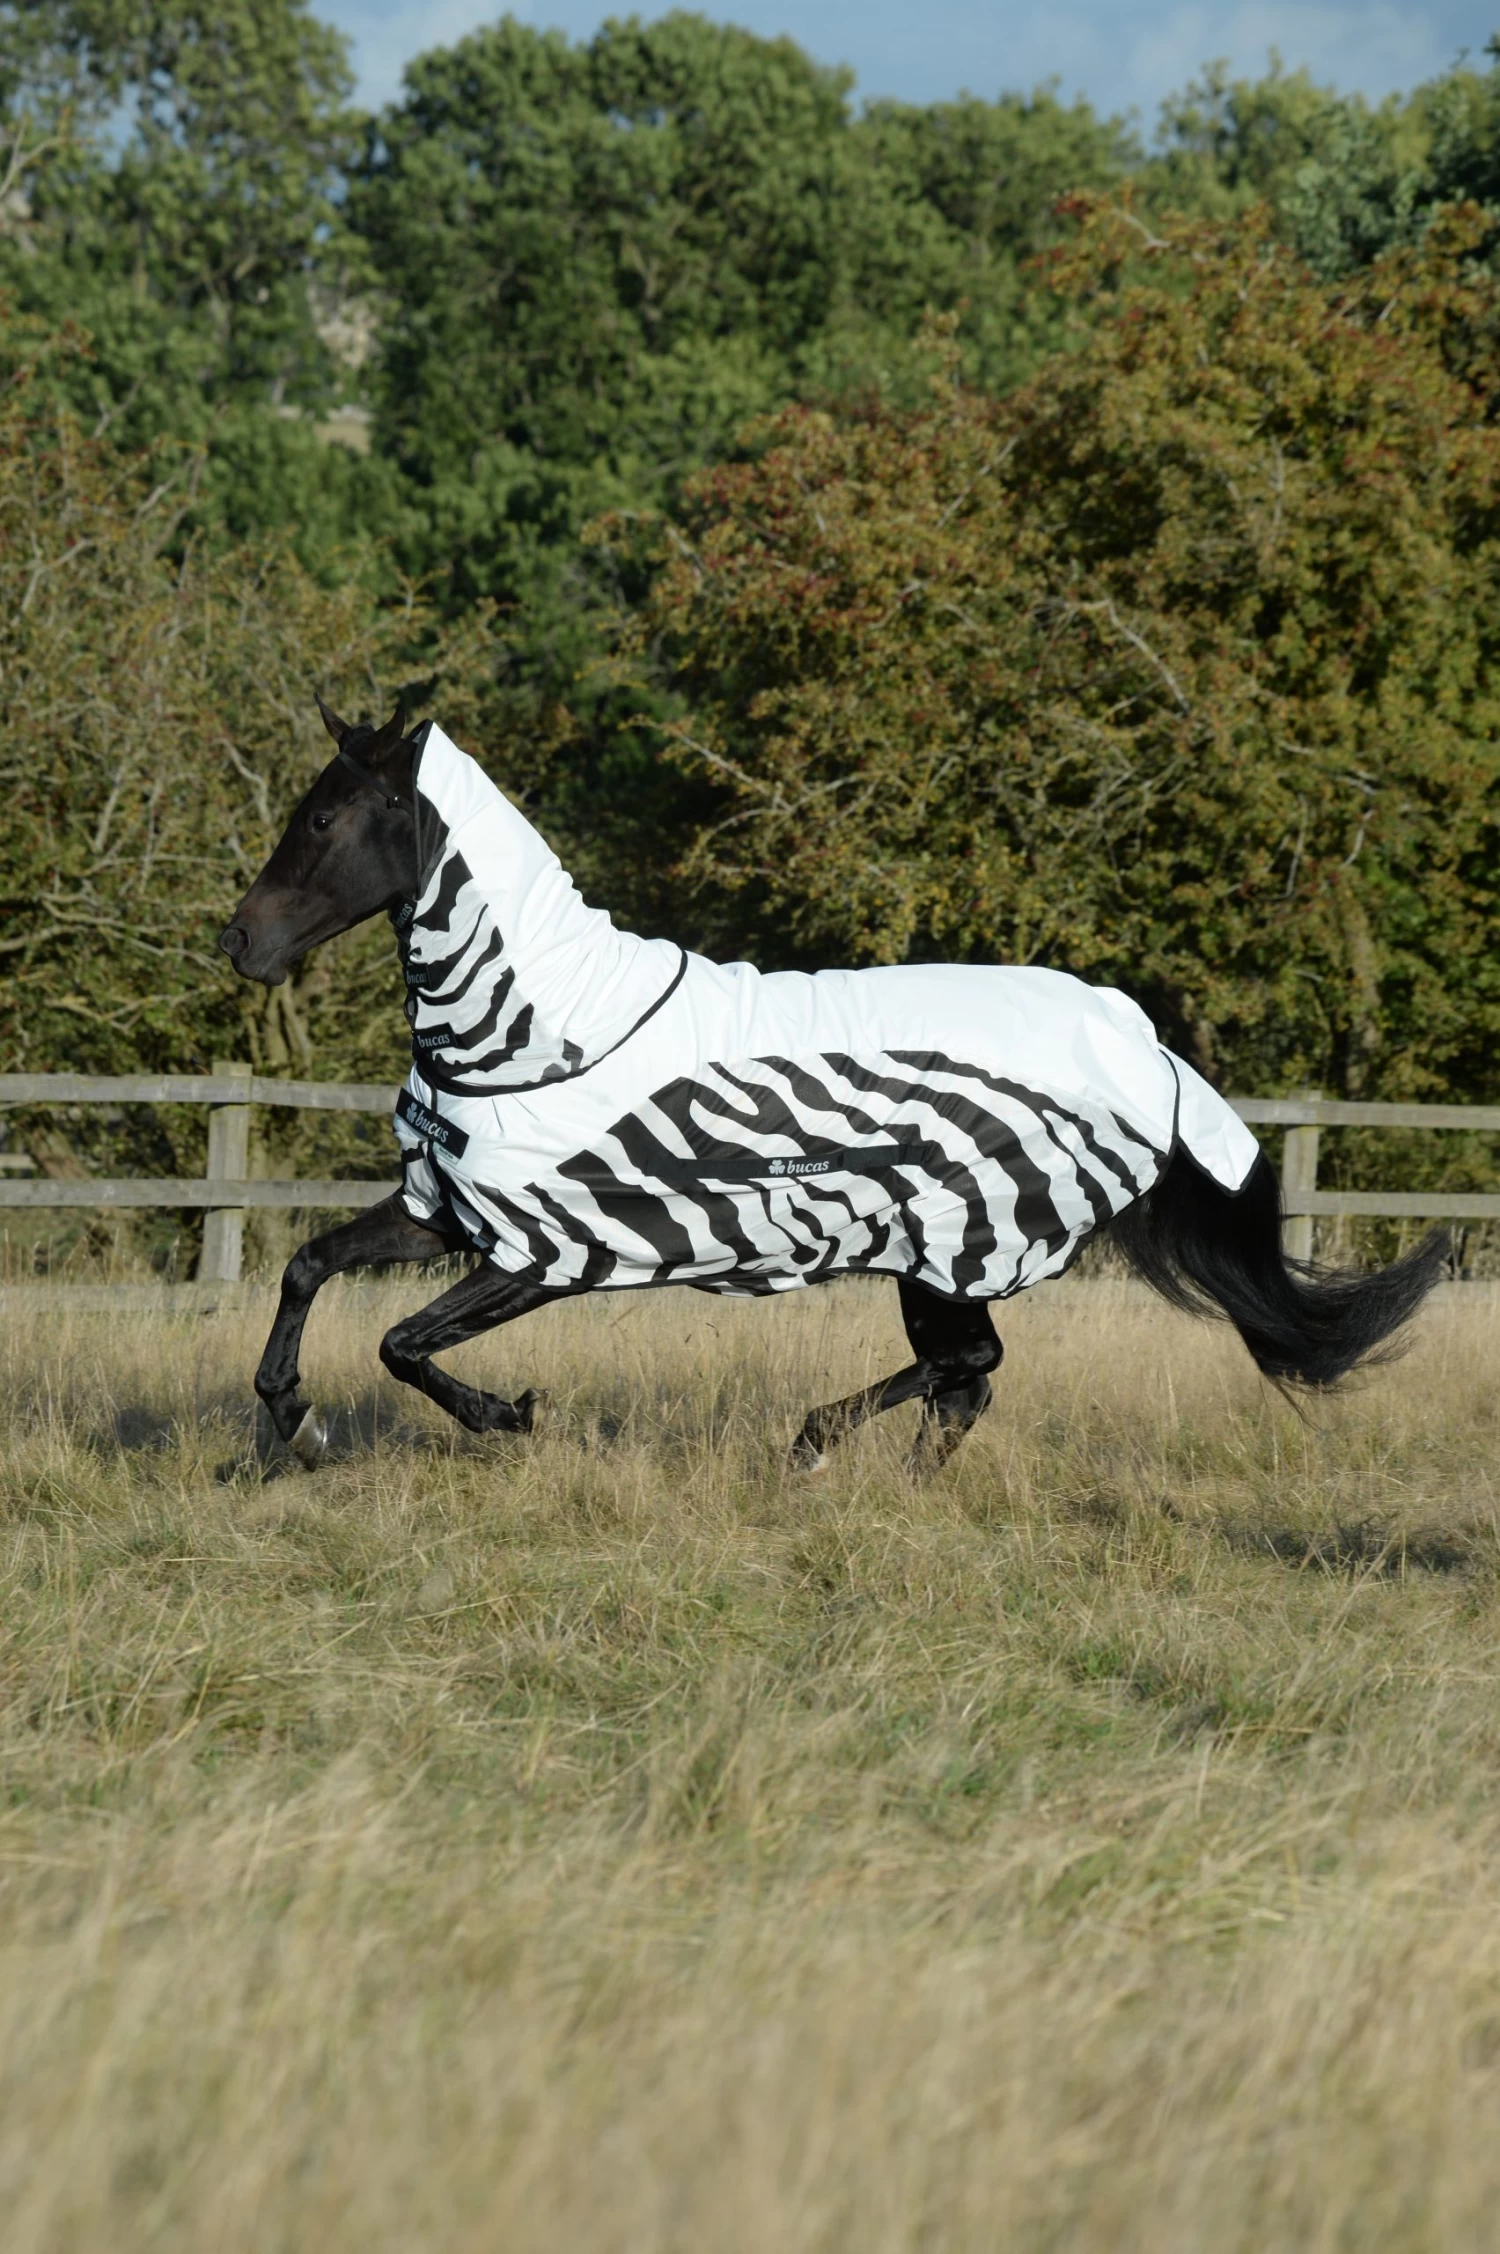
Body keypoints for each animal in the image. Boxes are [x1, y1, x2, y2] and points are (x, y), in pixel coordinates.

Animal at [218, 703, 1445, 1471]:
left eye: (323, 817)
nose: (238, 943)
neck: (540, 1032)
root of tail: (1144, 1048)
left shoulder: (548, 1253)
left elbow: (403, 1343)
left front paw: (504, 1417)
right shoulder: (447, 1215)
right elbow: (308, 1266)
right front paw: (296, 1422)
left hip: (947, 1248)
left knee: (966, 1367)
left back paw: (812, 1448)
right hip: (937, 1261)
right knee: (965, 1384)